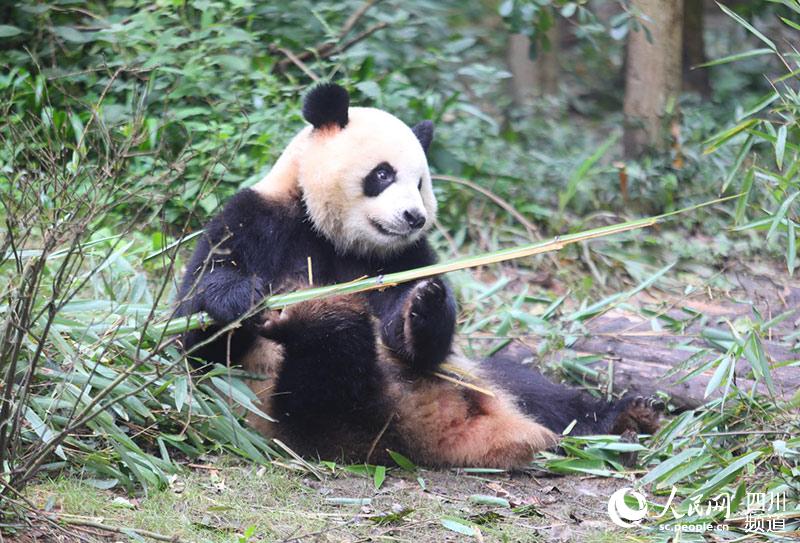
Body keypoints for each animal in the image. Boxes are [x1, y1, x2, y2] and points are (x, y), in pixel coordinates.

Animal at [175, 83, 656, 470]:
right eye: (382, 173)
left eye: (422, 181)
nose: (413, 216)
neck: (334, 237)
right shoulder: (257, 219)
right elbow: (198, 336)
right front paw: (241, 298)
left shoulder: (406, 256)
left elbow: (420, 340)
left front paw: (424, 304)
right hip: (301, 412)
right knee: (329, 377)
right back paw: (320, 316)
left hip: (477, 375)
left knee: (543, 394)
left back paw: (628, 416)